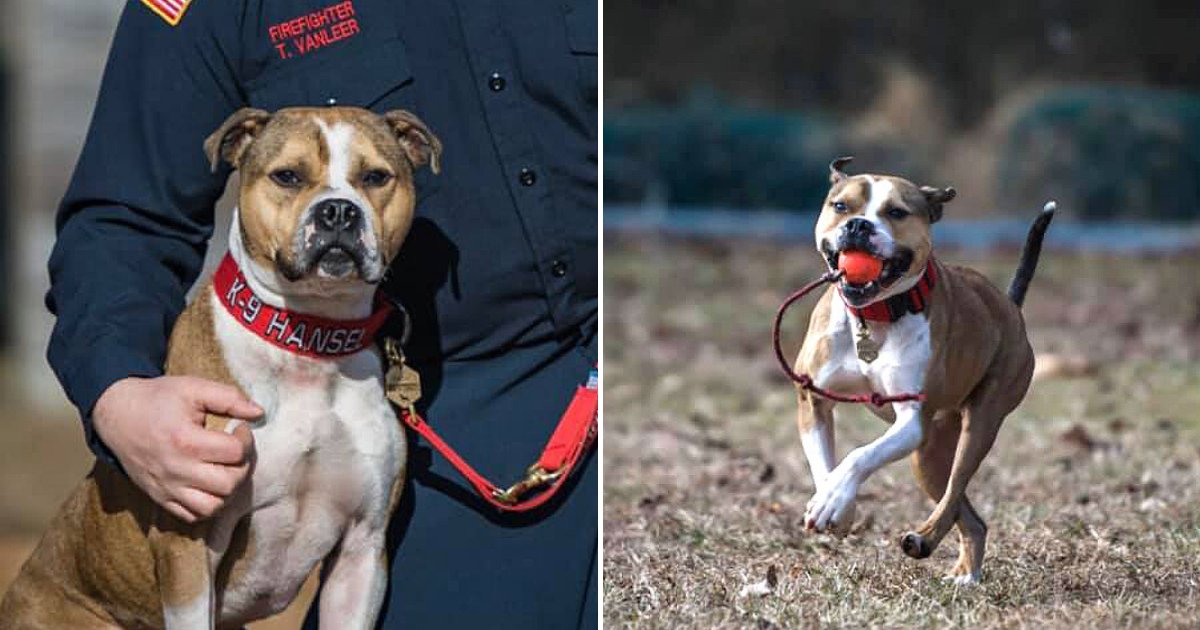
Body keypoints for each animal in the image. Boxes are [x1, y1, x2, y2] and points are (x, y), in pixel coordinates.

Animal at [1, 105, 441, 624]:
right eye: (288, 176)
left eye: (375, 177)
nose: (338, 210)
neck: (308, 343)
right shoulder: (188, 544)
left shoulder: (362, 554)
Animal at [792, 157, 1056, 585]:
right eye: (841, 206)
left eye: (897, 212)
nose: (858, 226)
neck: (875, 314)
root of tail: (1009, 306)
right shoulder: (812, 399)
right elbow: (824, 463)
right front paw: (835, 504)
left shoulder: (911, 419)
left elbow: (859, 455)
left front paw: (834, 498)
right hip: (928, 458)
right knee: (970, 516)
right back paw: (965, 573)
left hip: (980, 423)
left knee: (954, 492)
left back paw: (926, 539)